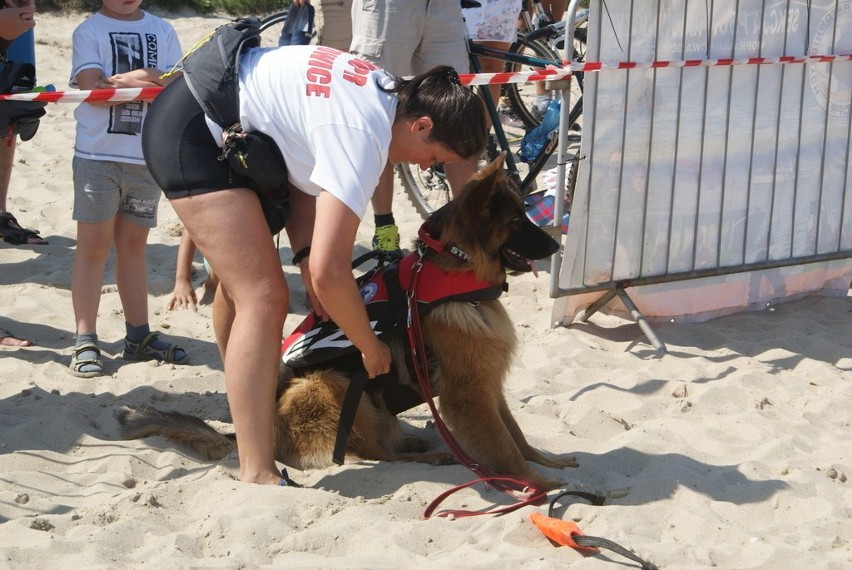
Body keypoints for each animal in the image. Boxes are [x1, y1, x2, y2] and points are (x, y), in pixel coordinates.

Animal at [116, 156, 576, 488]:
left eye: (525, 214)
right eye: (516, 221)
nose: (557, 245)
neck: (456, 272)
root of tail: (265, 432)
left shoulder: (487, 381)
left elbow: (516, 434)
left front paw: (547, 462)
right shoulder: (469, 391)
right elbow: (503, 445)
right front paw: (536, 484)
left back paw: (414, 440)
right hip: (334, 384)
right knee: (374, 453)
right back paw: (430, 454)